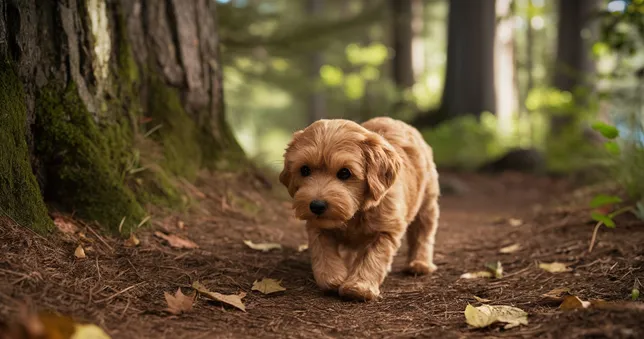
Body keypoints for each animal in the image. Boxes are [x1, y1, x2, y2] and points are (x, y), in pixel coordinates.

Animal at [280, 118, 440, 302]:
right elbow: (324, 251)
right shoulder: (318, 227)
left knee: (423, 232)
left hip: (427, 203)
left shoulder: (386, 229)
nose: (317, 206)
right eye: (305, 170)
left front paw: (359, 286)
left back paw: (420, 263)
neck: (355, 213)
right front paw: (332, 278)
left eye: (344, 173)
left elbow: (373, 257)